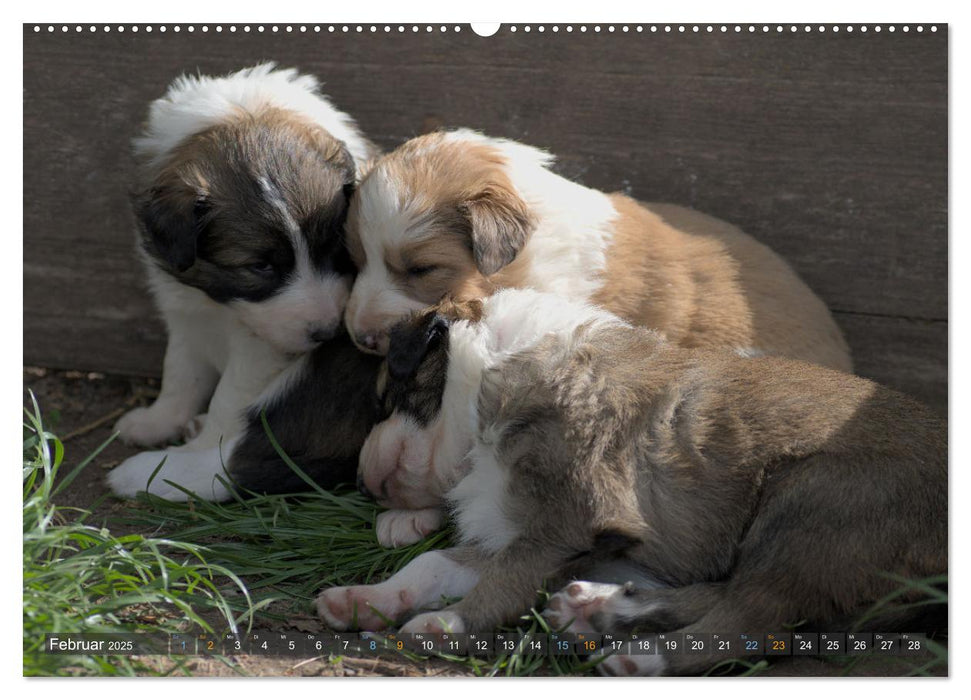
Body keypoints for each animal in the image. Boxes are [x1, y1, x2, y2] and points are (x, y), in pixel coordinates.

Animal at [108, 63, 378, 498]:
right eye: (261, 267)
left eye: (335, 248)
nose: (328, 332)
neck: (220, 303)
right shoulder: (186, 314)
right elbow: (180, 372)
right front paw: (158, 420)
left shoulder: (260, 350)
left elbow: (226, 400)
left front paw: (191, 447)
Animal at [320, 290, 948, 680]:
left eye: (383, 398)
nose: (360, 481)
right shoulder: (544, 534)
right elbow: (436, 563)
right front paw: (366, 599)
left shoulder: (572, 518)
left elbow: (502, 580)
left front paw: (447, 624)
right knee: (739, 600)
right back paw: (599, 609)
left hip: (814, 504)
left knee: (753, 619)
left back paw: (640, 656)